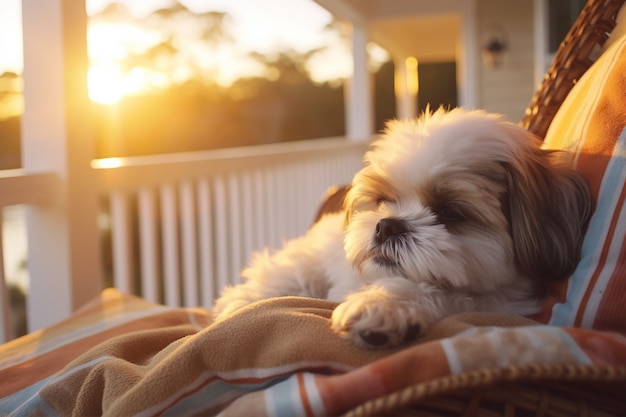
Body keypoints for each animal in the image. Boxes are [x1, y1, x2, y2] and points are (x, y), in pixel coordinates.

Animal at [212, 107, 588, 348]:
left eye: (450, 212)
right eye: (383, 200)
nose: (387, 226)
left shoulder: (503, 303)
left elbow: (450, 294)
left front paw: (384, 306)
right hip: (301, 269)